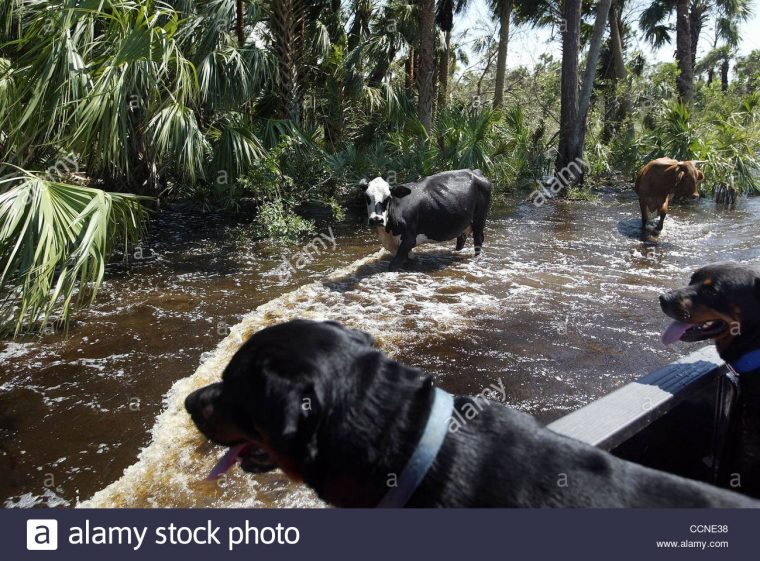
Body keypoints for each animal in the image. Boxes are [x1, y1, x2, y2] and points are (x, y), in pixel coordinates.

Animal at [358, 168, 490, 272]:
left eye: (388, 197)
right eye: (366, 197)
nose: (376, 219)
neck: (388, 232)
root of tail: (475, 171)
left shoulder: (409, 239)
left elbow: (393, 266)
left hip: (480, 219)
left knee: (478, 240)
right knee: (461, 240)